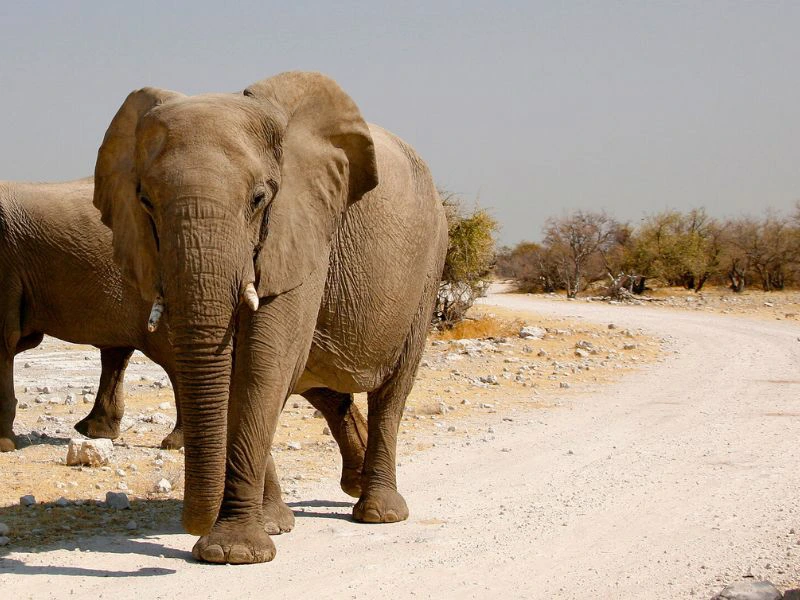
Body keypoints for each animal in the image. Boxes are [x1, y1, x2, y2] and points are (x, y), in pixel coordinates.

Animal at [93, 71, 448, 564]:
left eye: (260, 198)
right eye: (145, 200)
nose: (192, 524)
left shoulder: (302, 226)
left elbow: (262, 366)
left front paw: (232, 552)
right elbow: (242, 373)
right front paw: (272, 527)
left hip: (429, 266)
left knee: (392, 392)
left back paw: (378, 512)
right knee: (325, 387)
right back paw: (349, 485)